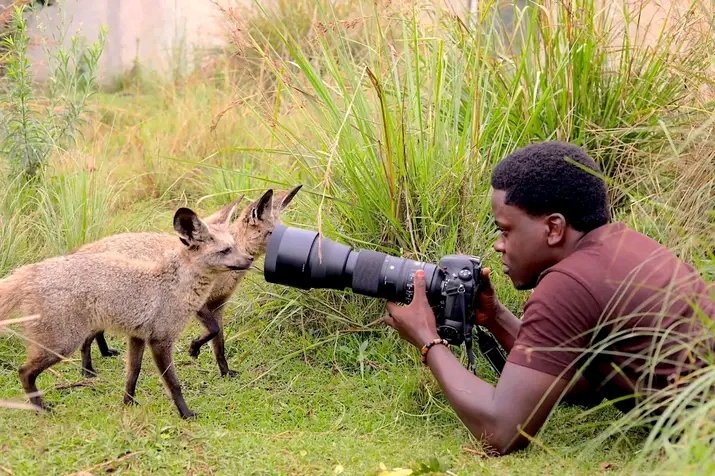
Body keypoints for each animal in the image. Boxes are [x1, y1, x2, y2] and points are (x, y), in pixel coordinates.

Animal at [0, 206, 253, 418]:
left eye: (234, 245)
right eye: (225, 250)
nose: (250, 258)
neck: (171, 285)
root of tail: (32, 271)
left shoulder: (138, 337)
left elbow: (133, 373)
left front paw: (128, 403)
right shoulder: (160, 341)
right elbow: (173, 384)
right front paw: (186, 413)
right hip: (62, 345)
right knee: (24, 372)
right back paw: (41, 408)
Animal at [78, 185, 302, 377]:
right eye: (272, 233)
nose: (291, 245)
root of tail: (84, 248)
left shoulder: (218, 305)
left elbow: (219, 345)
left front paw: (225, 372)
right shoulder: (198, 302)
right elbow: (213, 331)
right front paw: (194, 348)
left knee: (96, 333)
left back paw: (105, 353)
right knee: (86, 340)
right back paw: (87, 370)